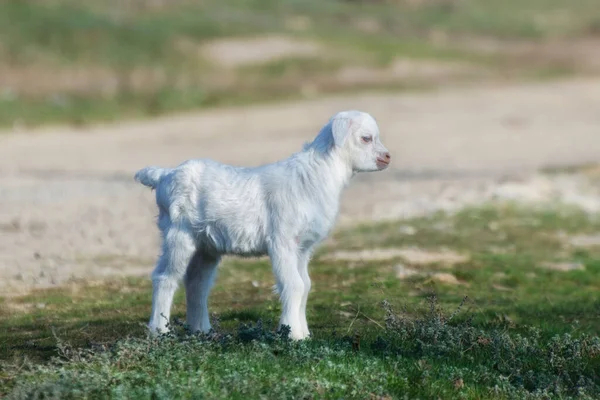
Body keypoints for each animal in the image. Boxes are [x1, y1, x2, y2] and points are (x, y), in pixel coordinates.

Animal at [134, 110, 392, 340]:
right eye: (366, 138)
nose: (388, 157)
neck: (313, 176)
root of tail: (163, 175)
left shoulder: (302, 247)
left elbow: (305, 285)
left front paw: (305, 334)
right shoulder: (282, 241)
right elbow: (293, 285)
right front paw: (292, 334)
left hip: (206, 245)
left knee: (196, 283)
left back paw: (202, 330)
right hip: (178, 234)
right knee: (165, 278)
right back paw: (160, 331)